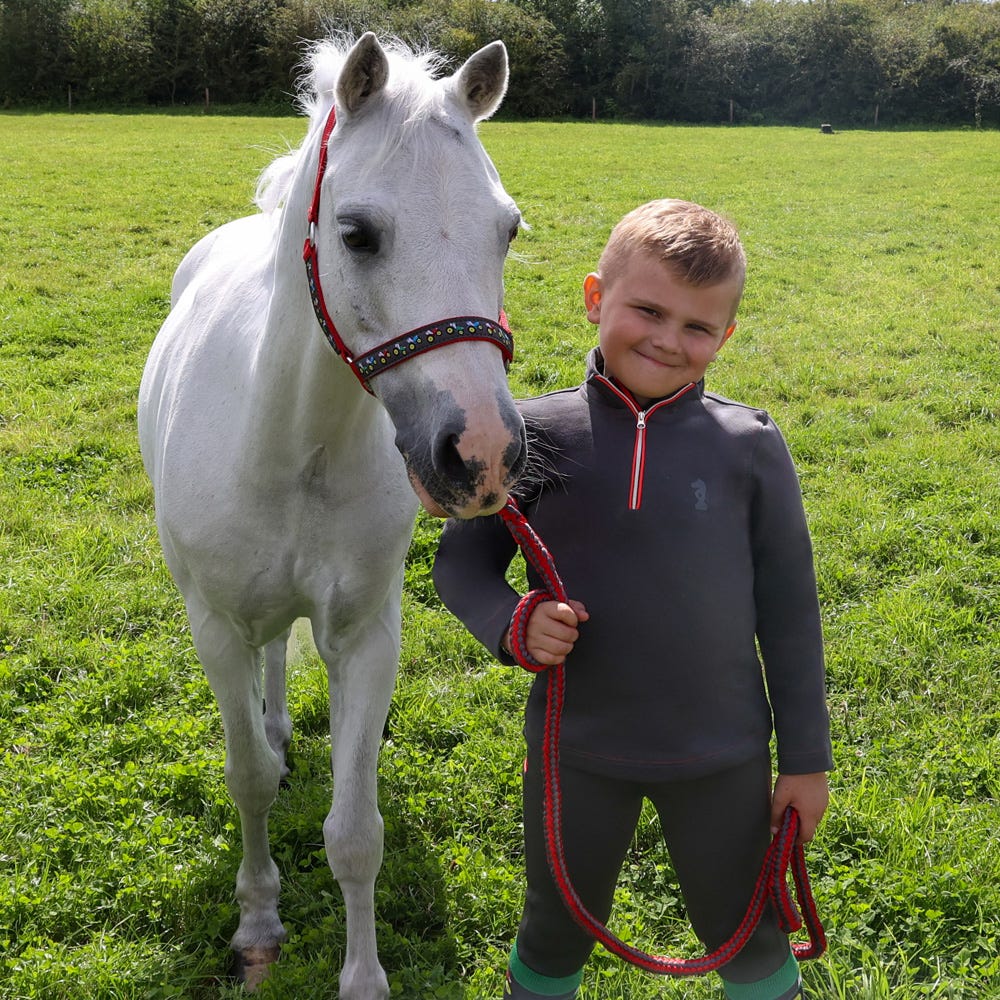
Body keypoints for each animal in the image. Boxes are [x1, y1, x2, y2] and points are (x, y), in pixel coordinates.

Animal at [142, 33, 532, 1000]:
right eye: (357, 234)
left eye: (507, 228)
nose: (480, 453)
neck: (295, 444)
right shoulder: (212, 625)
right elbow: (246, 778)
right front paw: (258, 924)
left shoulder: (365, 632)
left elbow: (356, 832)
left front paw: (362, 977)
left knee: (285, 644)